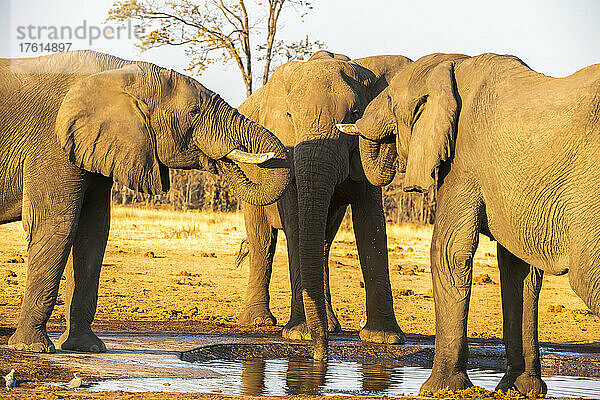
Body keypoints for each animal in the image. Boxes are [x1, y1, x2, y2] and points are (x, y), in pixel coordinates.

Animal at [0, 50, 290, 354]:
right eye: (194, 112)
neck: (122, 72)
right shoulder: (51, 146)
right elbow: (56, 224)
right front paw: (32, 348)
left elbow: (93, 232)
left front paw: (87, 348)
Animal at [234, 49, 412, 356]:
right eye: (290, 116)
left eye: (355, 114)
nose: (321, 353)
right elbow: (295, 223)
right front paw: (299, 334)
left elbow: (371, 225)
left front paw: (384, 338)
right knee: (262, 240)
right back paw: (259, 321)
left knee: (324, 242)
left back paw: (329, 326)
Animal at [340, 52, 600, 394]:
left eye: (390, 99)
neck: (454, 65)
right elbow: (519, 269)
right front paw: (519, 389)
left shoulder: (462, 164)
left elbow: (448, 252)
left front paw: (439, 389)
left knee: (587, 277)